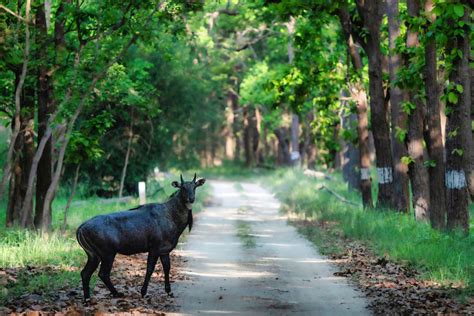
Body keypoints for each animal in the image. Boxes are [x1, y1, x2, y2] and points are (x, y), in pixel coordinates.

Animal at [76, 174, 206, 300]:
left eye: (195, 186)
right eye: (182, 187)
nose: (191, 198)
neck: (173, 219)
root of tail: (80, 229)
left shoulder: (165, 250)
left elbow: (167, 268)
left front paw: (169, 291)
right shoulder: (154, 248)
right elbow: (150, 269)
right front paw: (143, 292)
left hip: (93, 254)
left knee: (85, 273)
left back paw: (87, 298)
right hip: (107, 252)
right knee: (103, 273)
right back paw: (117, 293)